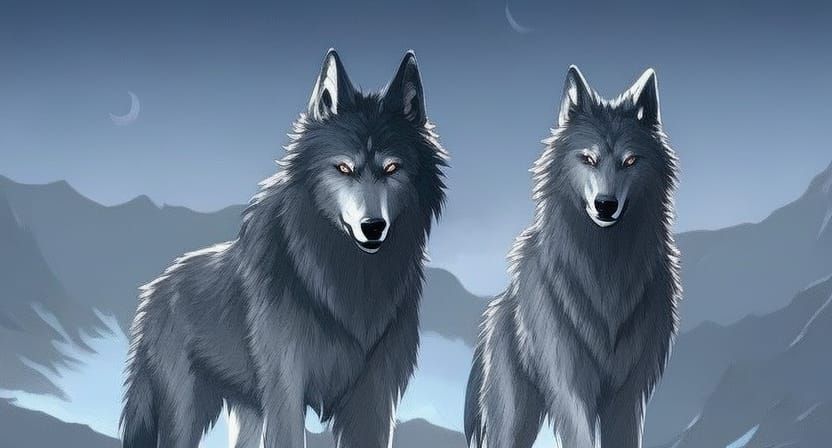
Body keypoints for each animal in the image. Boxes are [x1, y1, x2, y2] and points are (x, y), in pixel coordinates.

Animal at [120, 49, 447, 448]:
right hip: (186, 413)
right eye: (343, 168)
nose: (373, 227)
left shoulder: (374, 399)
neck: (344, 279)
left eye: (392, 168)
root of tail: (155, 288)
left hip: (246, 411)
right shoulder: (286, 390)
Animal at [464, 66, 681, 448]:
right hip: (514, 416)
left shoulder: (628, 395)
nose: (606, 205)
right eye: (588, 159)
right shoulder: (569, 386)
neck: (605, 269)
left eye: (630, 161)